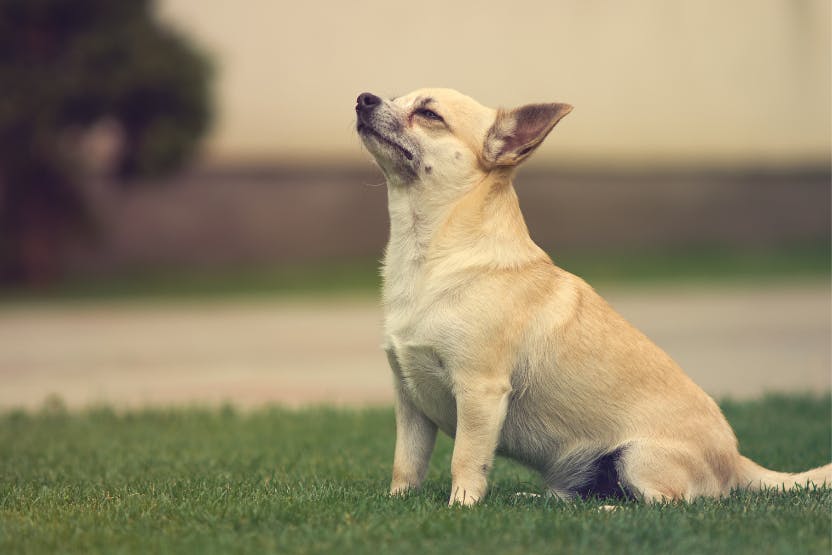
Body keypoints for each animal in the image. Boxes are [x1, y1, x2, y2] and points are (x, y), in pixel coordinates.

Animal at [352, 88, 832, 508]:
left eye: (428, 114)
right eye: (394, 98)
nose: (364, 98)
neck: (423, 256)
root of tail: (735, 460)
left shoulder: (478, 391)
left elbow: (466, 460)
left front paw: (461, 508)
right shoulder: (410, 400)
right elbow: (407, 463)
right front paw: (397, 503)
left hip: (638, 457)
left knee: (665, 505)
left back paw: (607, 513)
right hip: (589, 469)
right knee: (581, 495)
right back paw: (539, 501)